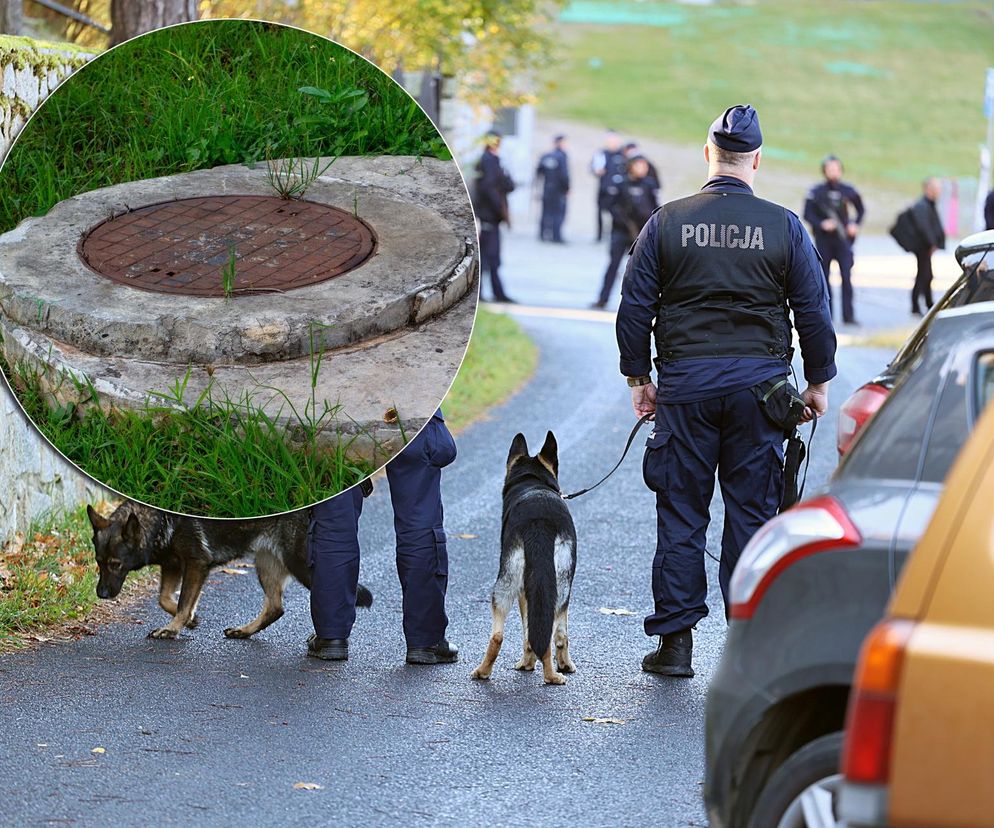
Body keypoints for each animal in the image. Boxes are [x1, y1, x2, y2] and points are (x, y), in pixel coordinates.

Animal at [85, 498, 370, 640]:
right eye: (98, 562)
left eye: (115, 564)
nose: (101, 594)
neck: (161, 521)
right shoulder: (172, 565)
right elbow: (165, 598)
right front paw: (189, 620)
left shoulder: (196, 565)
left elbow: (183, 601)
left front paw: (173, 628)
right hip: (265, 565)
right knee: (275, 607)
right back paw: (244, 631)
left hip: (300, 565)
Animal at [470, 434, 576, 684]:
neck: (533, 481)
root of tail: (540, 522)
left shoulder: (522, 593)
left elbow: (527, 634)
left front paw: (527, 663)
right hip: (561, 586)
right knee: (556, 632)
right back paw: (557, 672)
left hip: (505, 586)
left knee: (498, 636)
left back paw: (483, 671)